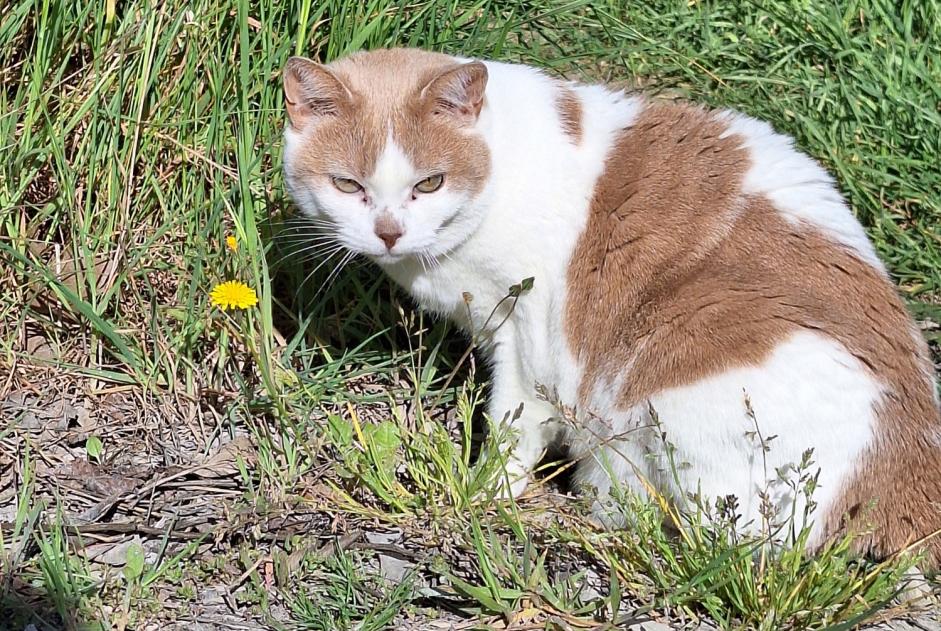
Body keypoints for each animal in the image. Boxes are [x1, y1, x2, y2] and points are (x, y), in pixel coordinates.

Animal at [282, 47, 940, 564]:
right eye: (348, 186)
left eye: (429, 183)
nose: (389, 231)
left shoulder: (526, 332)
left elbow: (512, 425)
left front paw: (487, 492)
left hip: (688, 357)